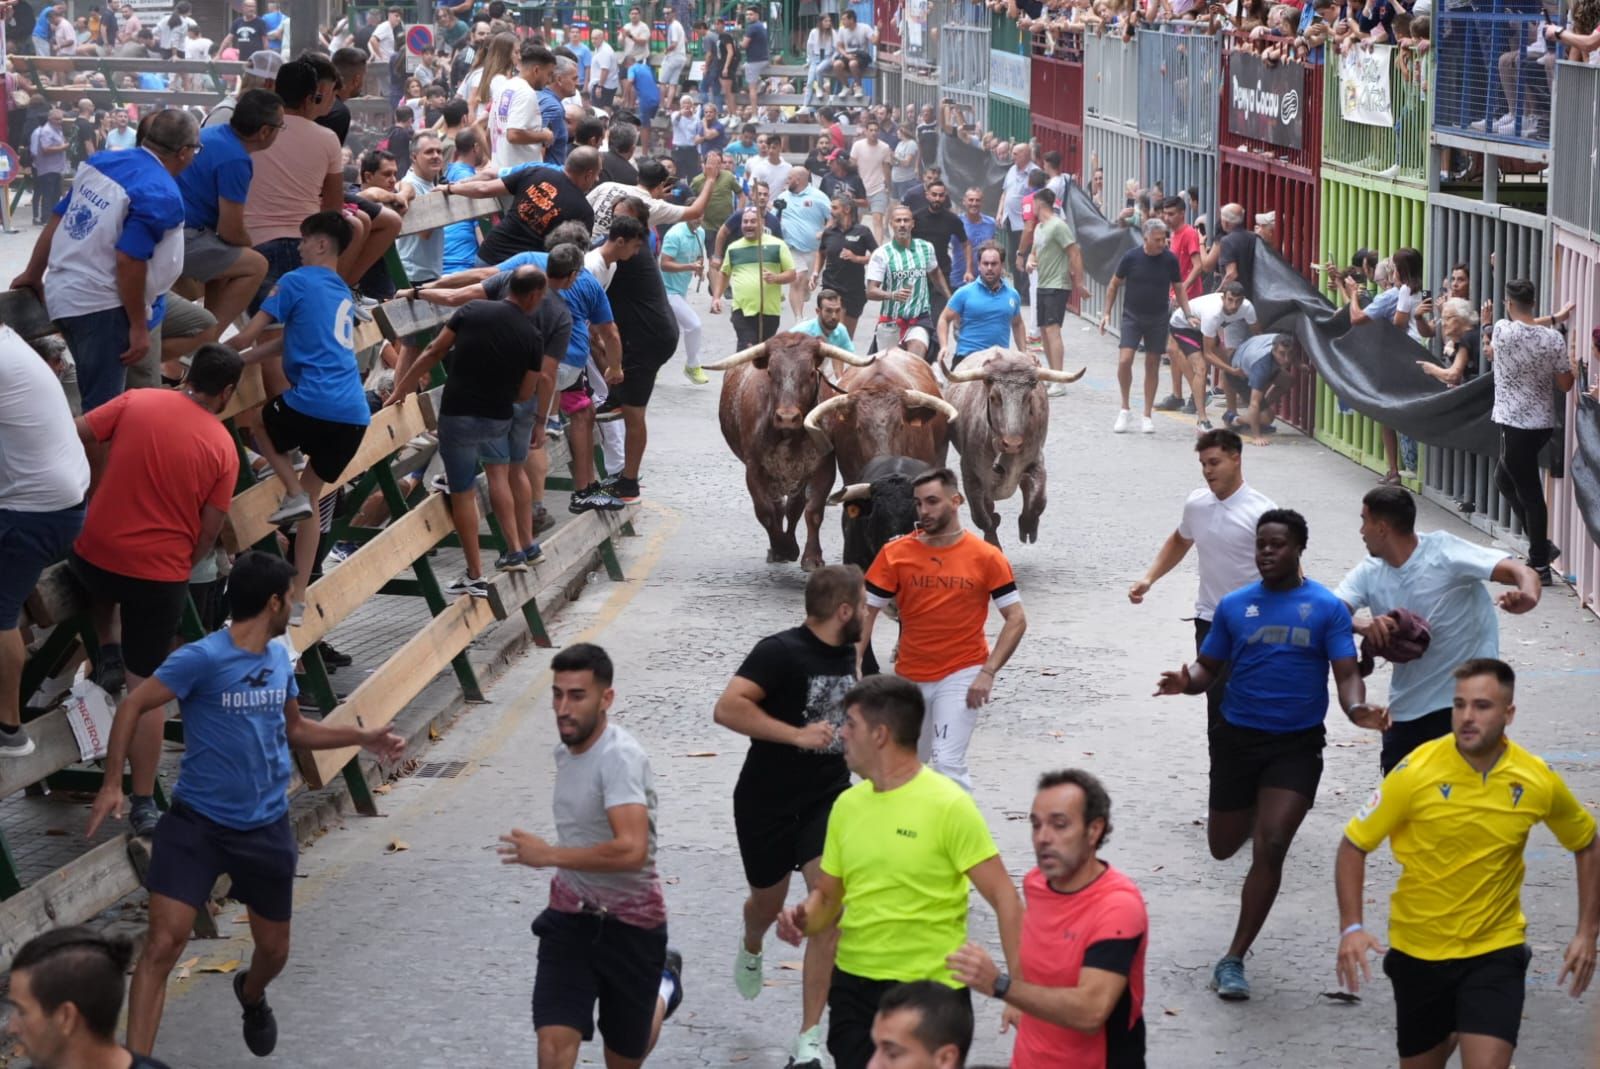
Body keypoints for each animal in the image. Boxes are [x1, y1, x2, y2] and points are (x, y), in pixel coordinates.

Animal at [710, 331, 876, 566]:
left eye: (810, 372)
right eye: (770, 372)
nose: (787, 417)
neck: (790, 435)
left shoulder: (823, 468)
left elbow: (812, 511)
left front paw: (811, 556)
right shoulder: (754, 470)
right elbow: (765, 512)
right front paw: (783, 548)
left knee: (793, 509)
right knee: (778, 508)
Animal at [934, 347, 1088, 547]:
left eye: (1029, 397)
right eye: (993, 397)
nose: (1013, 443)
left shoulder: (1036, 461)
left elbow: (1038, 501)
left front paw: (1028, 526)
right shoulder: (970, 473)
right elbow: (981, 517)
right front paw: (993, 539)